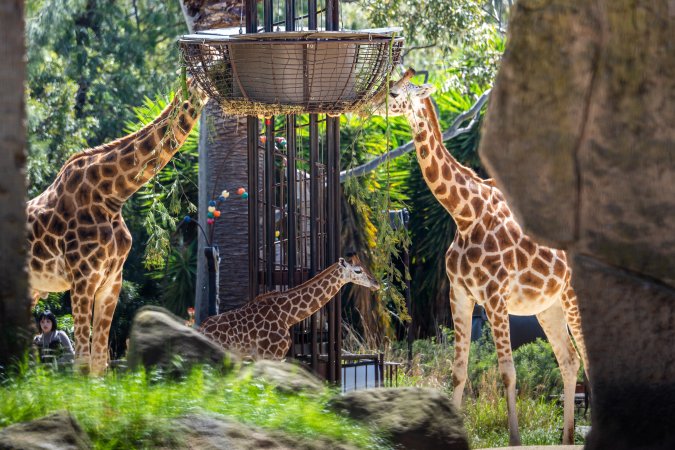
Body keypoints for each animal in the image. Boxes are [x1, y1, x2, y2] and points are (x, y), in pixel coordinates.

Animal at [373, 70, 589, 446]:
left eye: (396, 92)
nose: (372, 104)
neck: (464, 214)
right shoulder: (459, 294)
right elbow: (458, 372)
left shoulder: (495, 296)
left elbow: (508, 372)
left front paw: (515, 440)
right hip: (549, 305)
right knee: (569, 360)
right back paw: (566, 438)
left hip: (574, 298)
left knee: (589, 360)